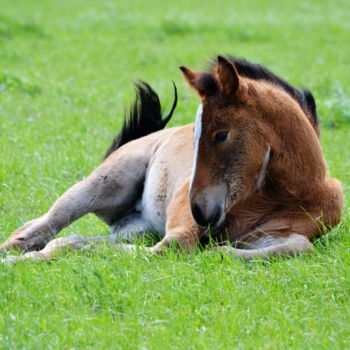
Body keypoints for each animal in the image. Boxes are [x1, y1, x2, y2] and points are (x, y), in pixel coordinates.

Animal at [0, 56, 344, 262]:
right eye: (194, 134)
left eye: (221, 134)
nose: (200, 211)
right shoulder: (181, 226)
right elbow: (173, 246)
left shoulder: (271, 236)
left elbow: (298, 245)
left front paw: (220, 252)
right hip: (103, 184)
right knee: (42, 227)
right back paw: (15, 256)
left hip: (136, 226)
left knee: (72, 237)